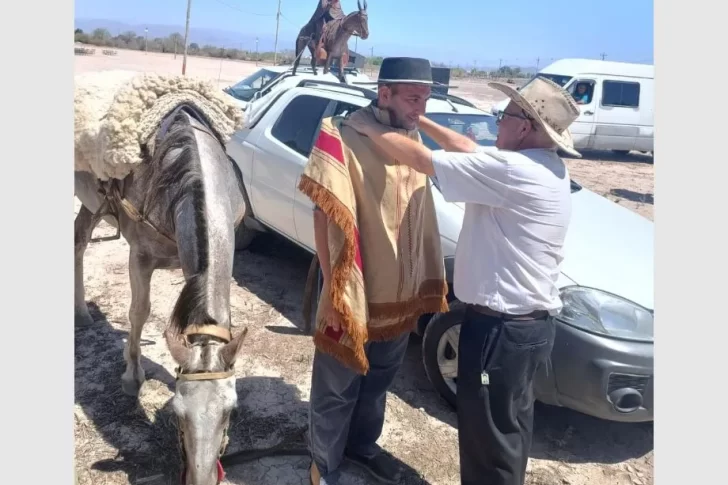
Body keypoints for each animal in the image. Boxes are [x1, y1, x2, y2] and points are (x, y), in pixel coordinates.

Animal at [75, 103, 249, 484]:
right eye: (178, 414)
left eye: (231, 410)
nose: (201, 478)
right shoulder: (140, 256)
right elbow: (139, 312)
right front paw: (132, 376)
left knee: (78, 238)